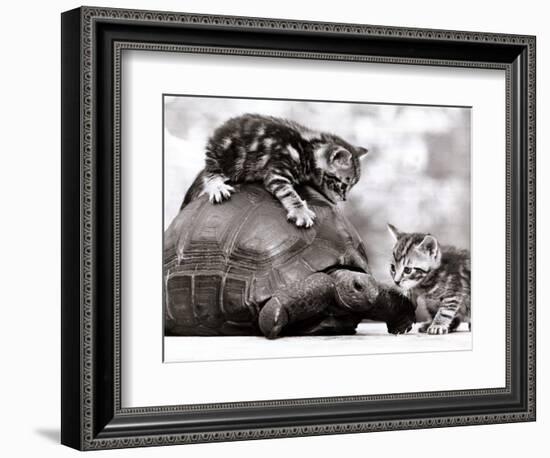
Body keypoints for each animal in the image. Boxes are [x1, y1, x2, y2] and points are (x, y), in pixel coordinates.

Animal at [185, 113, 370, 227]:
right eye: (344, 185)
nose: (345, 199)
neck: (308, 149)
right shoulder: (278, 173)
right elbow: (289, 193)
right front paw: (300, 211)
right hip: (222, 155)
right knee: (210, 172)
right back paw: (217, 185)